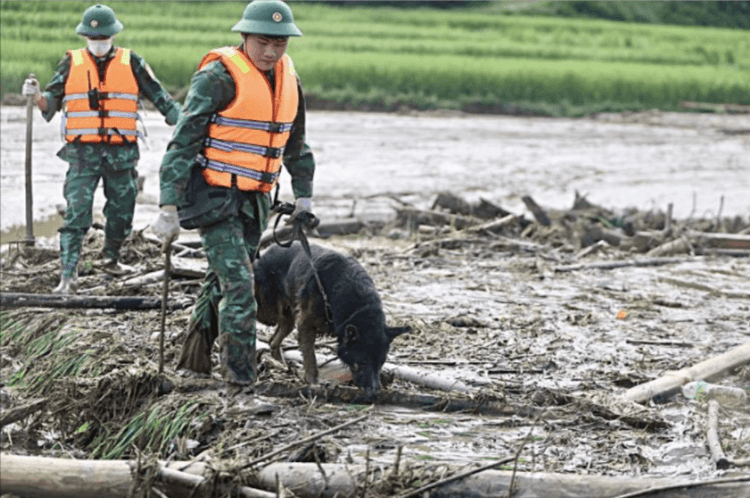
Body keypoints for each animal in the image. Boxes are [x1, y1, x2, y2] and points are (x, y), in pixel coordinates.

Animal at [258, 241, 412, 396]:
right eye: (363, 362)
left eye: (381, 363)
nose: (375, 394)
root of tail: (266, 251)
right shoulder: (305, 324)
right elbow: (310, 356)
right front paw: (313, 381)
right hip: (267, 313)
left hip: (288, 319)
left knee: (273, 341)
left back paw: (280, 365)